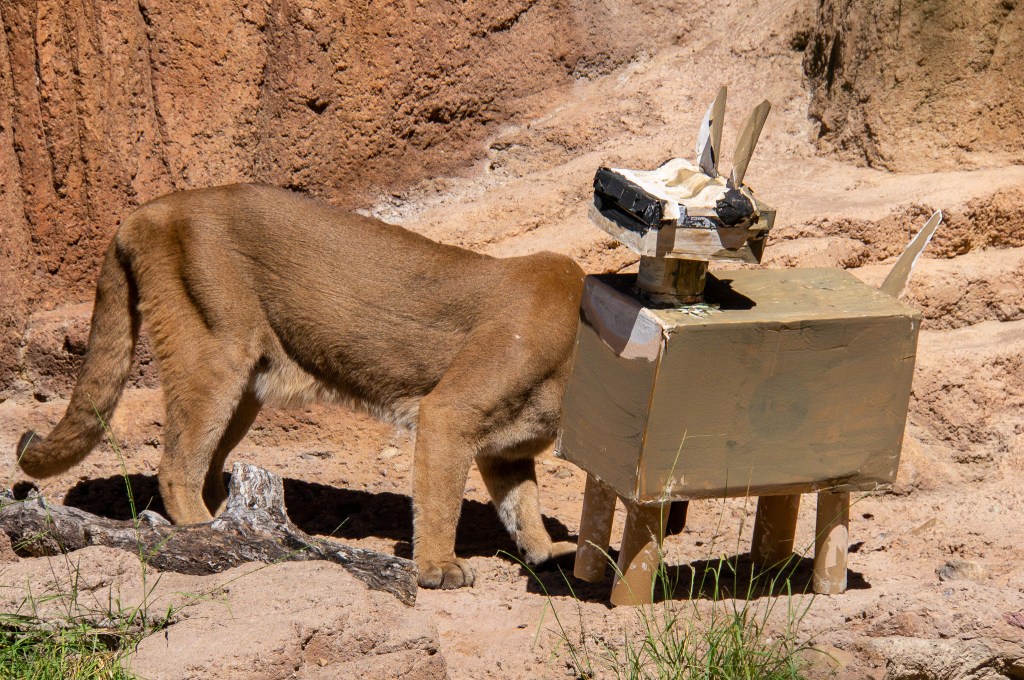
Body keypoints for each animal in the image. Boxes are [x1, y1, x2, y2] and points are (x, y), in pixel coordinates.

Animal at [17, 183, 584, 589]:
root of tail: (146, 210)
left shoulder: (506, 449)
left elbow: (521, 502)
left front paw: (544, 551)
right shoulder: (449, 411)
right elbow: (442, 499)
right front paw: (439, 568)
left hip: (245, 386)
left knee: (211, 468)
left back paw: (239, 524)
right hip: (213, 355)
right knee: (177, 466)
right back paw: (212, 538)